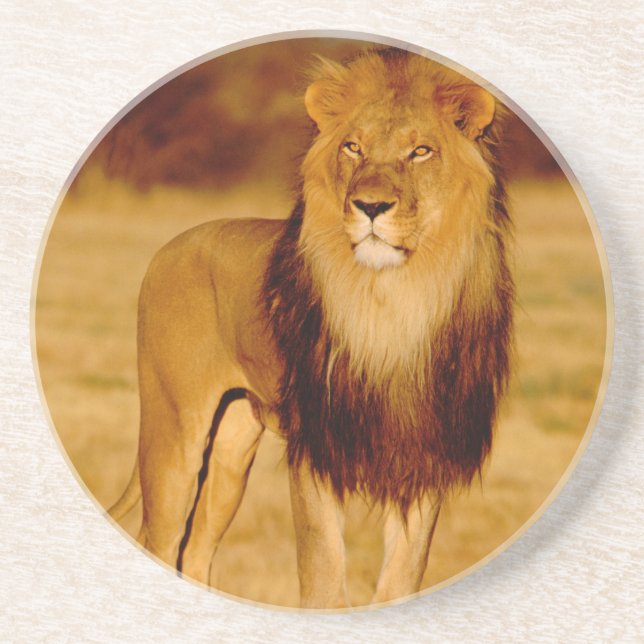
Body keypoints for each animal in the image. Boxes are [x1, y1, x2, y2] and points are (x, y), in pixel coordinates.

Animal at [108, 47, 514, 609]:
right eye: (353, 147)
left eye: (421, 152)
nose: (370, 206)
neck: (390, 304)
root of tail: (172, 244)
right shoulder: (315, 447)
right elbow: (323, 568)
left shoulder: (424, 454)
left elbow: (402, 577)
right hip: (174, 434)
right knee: (163, 538)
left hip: (233, 446)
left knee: (196, 549)